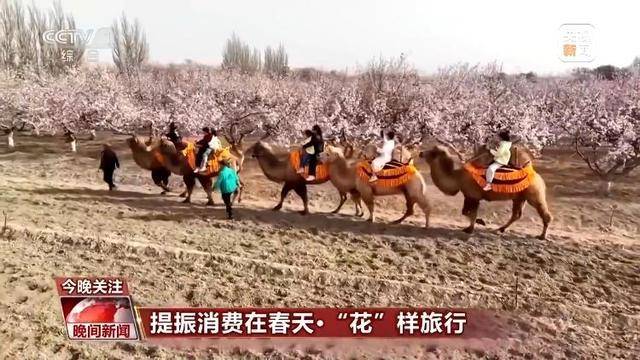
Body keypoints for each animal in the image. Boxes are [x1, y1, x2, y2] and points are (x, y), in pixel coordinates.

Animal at [420, 145, 552, 240]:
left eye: (433, 152)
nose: (421, 153)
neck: (457, 178)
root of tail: (537, 176)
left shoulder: (472, 196)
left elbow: (469, 213)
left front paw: (472, 227)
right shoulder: (470, 196)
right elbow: (468, 212)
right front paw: (476, 224)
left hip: (534, 195)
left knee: (545, 214)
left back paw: (542, 236)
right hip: (519, 197)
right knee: (516, 214)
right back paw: (500, 229)